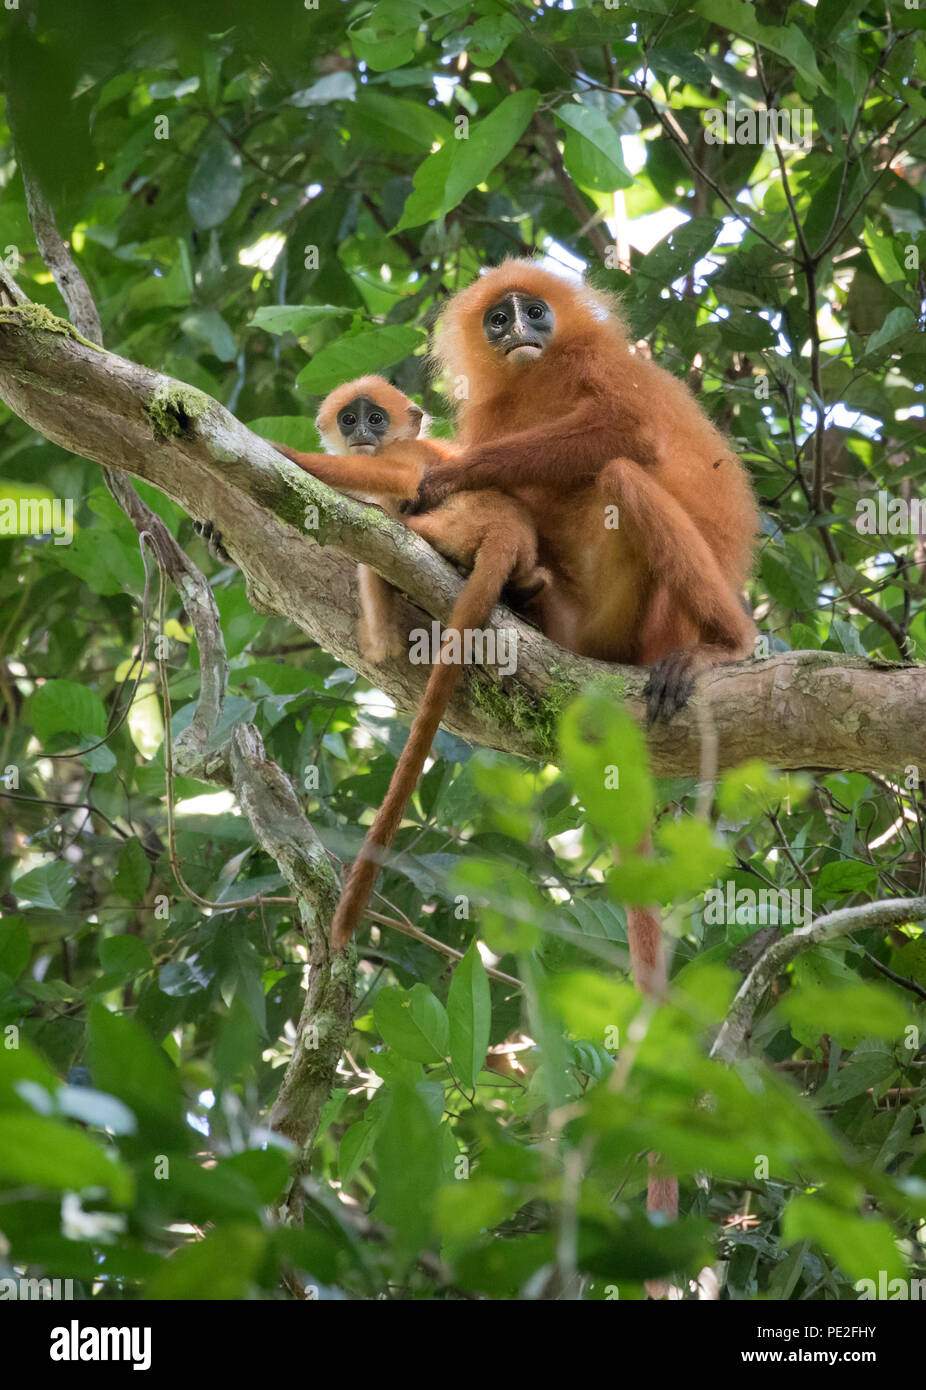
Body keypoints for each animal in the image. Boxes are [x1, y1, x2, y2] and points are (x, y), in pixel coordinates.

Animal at [273, 372, 547, 956]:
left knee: (387, 529)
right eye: (350, 419)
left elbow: (395, 476)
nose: (362, 433)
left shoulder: (405, 454)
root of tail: (507, 531)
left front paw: (289, 454)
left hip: (450, 523)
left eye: (376, 419)